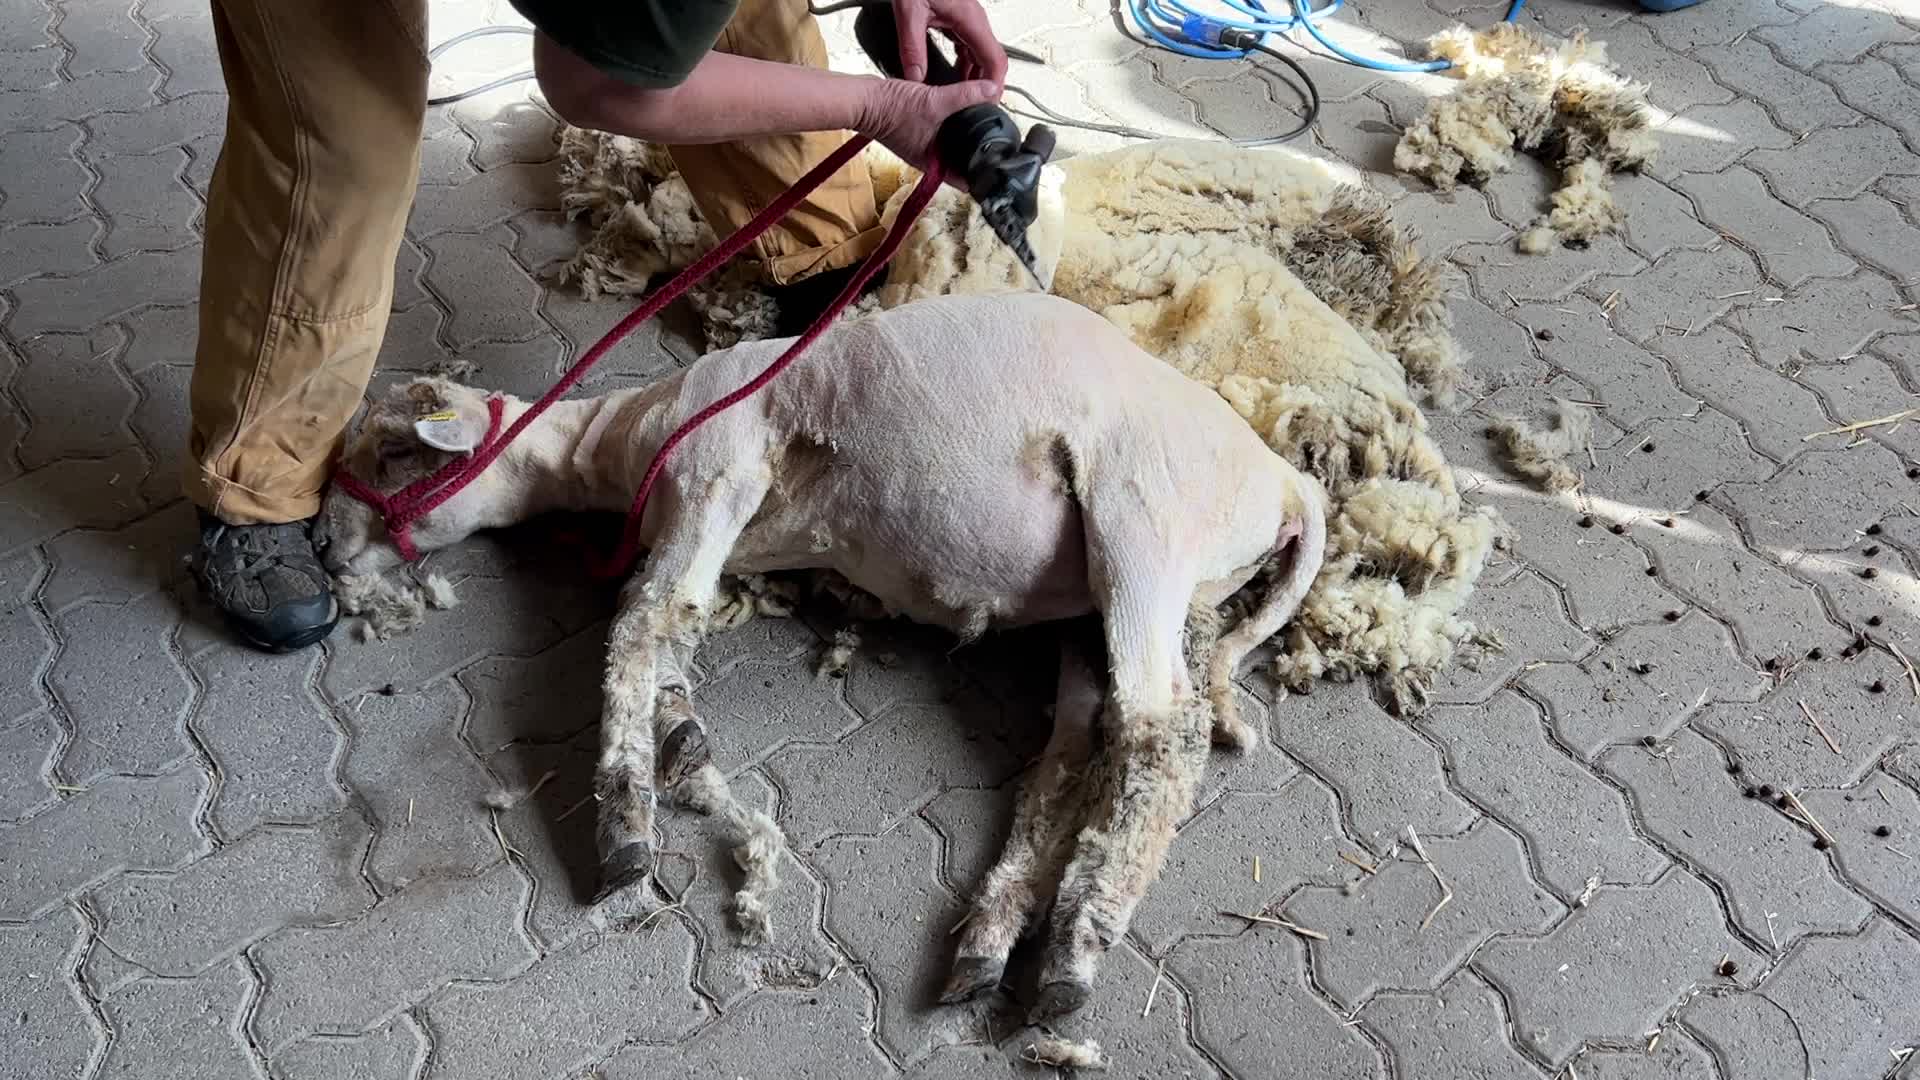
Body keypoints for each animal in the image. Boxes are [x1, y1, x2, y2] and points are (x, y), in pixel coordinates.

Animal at [321, 291, 1326, 1018]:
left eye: (389, 454)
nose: (324, 554)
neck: (625, 442)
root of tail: (1289, 483)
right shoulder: (728, 527)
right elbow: (669, 621)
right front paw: (678, 733)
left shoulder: (718, 469)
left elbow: (641, 619)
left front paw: (624, 830)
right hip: (1088, 600)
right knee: (1083, 742)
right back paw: (991, 942)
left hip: (1144, 519)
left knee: (1162, 731)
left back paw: (1074, 956)